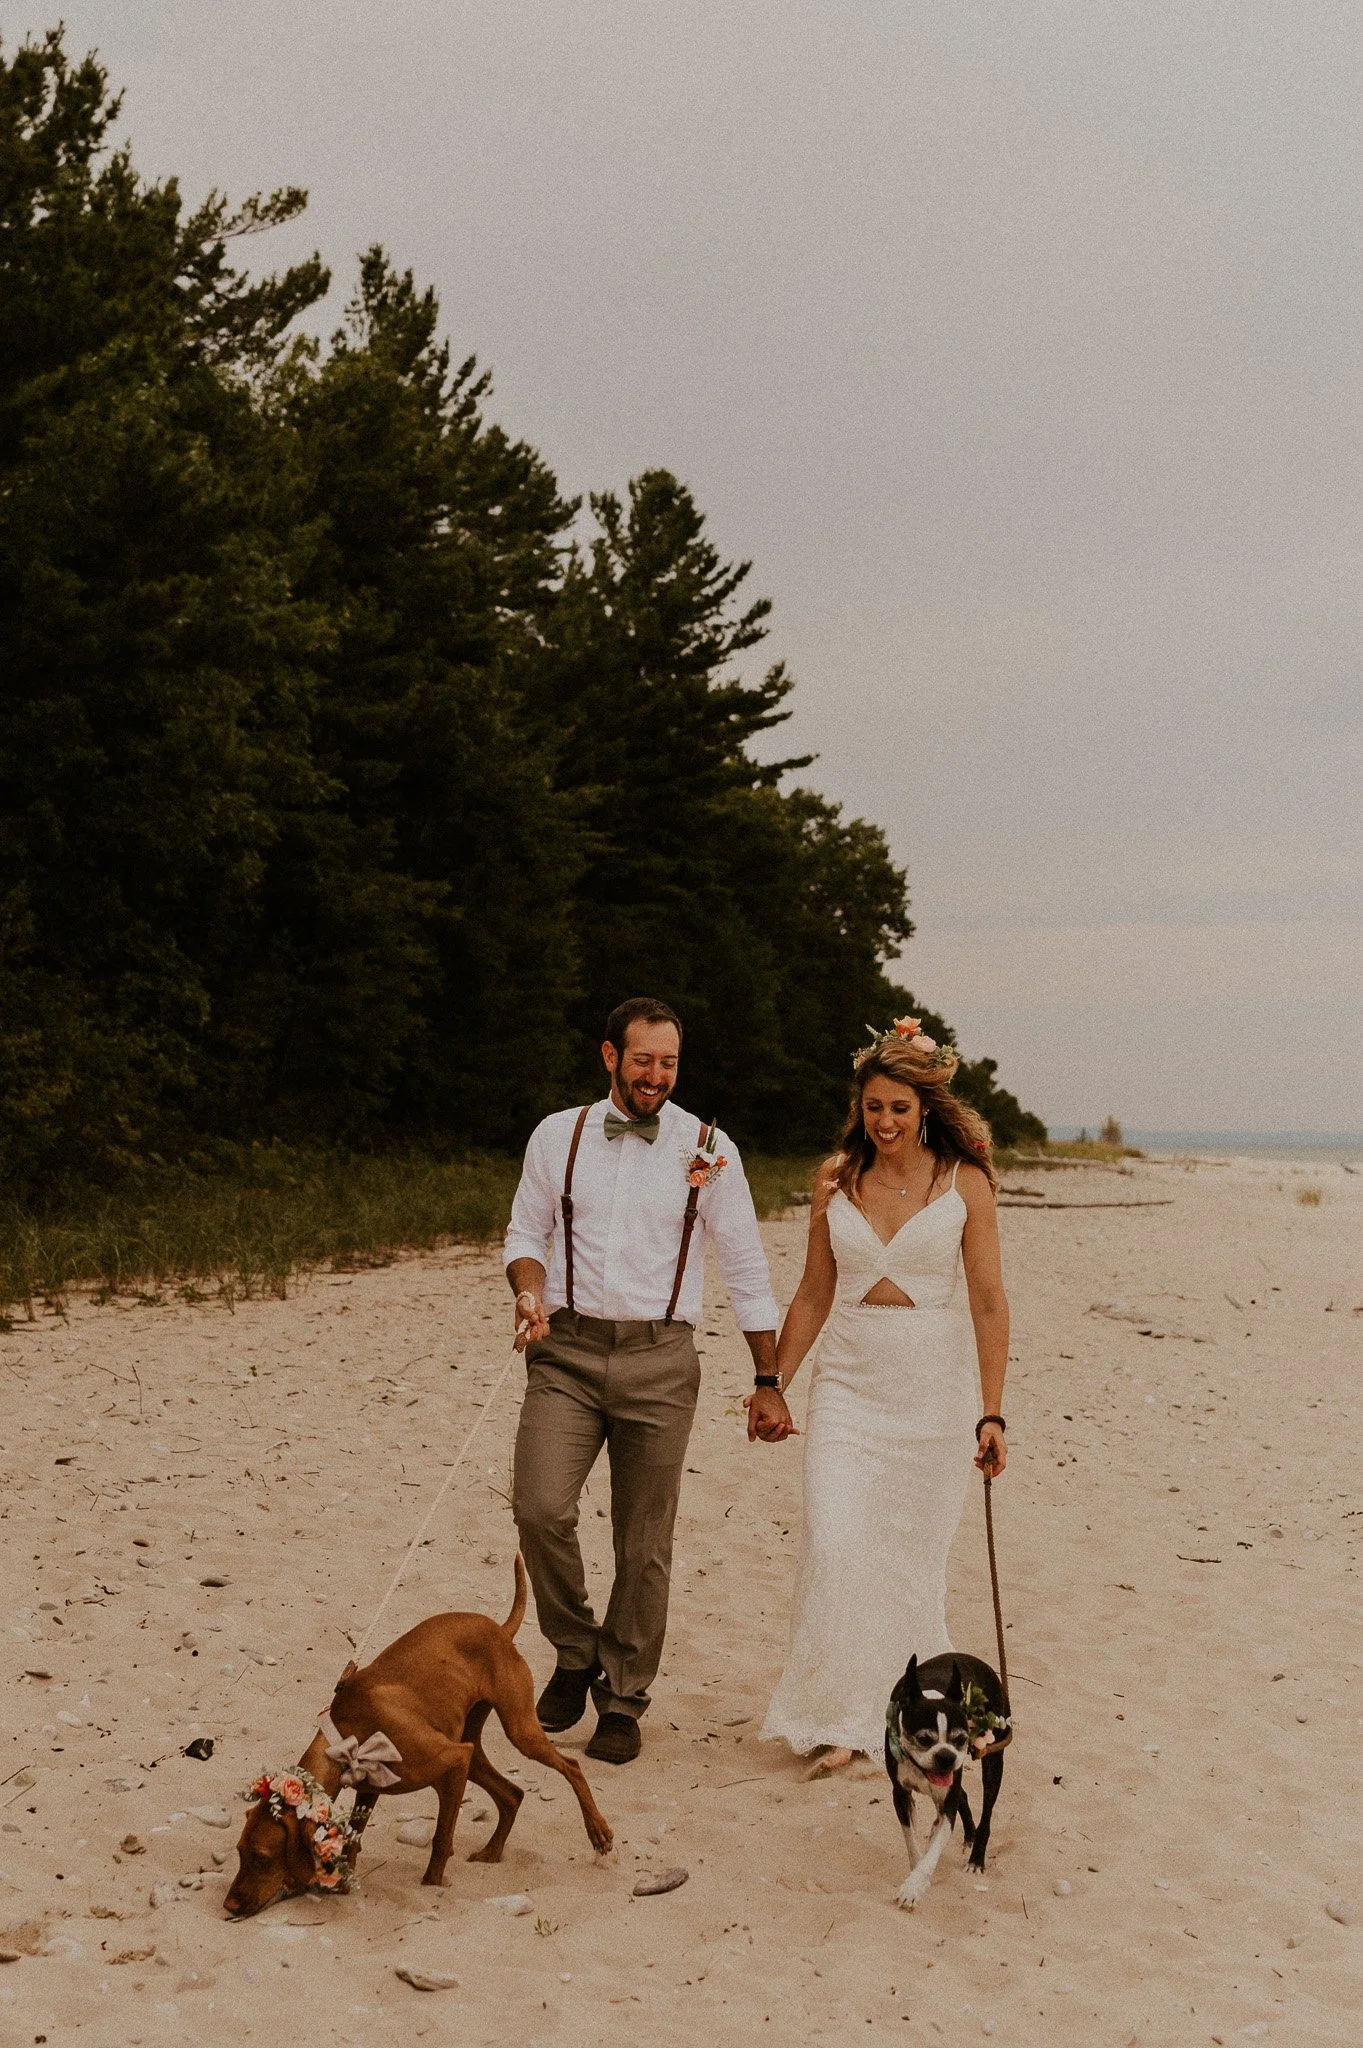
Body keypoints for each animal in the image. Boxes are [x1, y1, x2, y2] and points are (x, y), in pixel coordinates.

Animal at [224, 1548, 609, 1916]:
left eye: (261, 1857)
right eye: (240, 1852)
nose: (228, 1906)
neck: (347, 1735)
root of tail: (499, 1629)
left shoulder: (454, 1759)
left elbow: (440, 1841)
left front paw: (431, 1886)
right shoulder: (372, 1788)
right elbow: (353, 1840)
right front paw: (345, 1884)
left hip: (515, 1733)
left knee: (571, 1767)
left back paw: (598, 1832)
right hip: (473, 1750)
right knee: (513, 1794)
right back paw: (491, 1852)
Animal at [888, 1646, 1002, 1900]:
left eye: (961, 1738)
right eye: (923, 1739)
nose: (946, 1756)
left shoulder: (947, 1803)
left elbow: (934, 1849)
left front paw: (914, 1885)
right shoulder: (901, 1794)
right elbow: (912, 1840)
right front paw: (916, 1876)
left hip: (993, 1761)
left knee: (987, 1811)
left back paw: (976, 1857)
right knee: (963, 1795)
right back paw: (968, 1835)